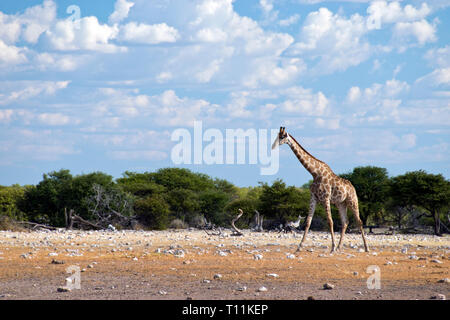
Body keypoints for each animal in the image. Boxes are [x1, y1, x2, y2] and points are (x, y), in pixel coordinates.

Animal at [272, 126, 368, 254]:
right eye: (277, 135)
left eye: (282, 137)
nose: (273, 146)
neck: (315, 173)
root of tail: (352, 187)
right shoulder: (313, 197)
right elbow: (308, 222)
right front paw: (299, 247)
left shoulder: (325, 198)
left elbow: (330, 221)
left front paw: (332, 247)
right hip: (341, 203)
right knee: (345, 222)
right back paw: (339, 247)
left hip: (352, 200)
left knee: (359, 221)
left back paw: (366, 248)